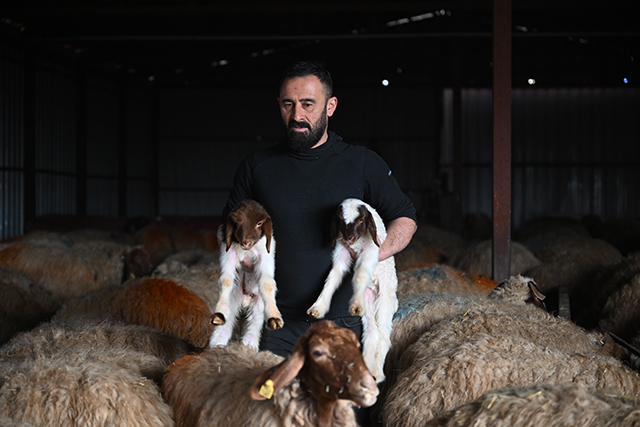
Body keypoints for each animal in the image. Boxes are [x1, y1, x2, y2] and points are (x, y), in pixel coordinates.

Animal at [209, 199, 283, 350]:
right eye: (236, 223)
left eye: (259, 223)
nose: (246, 243)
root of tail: (245, 300)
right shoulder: (228, 251)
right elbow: (226, 280)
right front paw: (218, 313)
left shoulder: (266, 254)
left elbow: (267, 284)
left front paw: (274, 317)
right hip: (234, 297)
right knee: (229, 318)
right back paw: (218, 343)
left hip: (258, 303)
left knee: (255, 321)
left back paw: (249, 345)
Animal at [306, 198, 397, 383]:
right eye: (341, 220)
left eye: (362, 221)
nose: (350, 237)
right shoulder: (341, 250)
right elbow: (333, 278)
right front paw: (318, 308)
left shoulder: (371, 251)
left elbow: (360, 275)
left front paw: (355, 304)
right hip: (369, 300)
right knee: (372, 333)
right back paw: (366, 369)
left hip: (386, 299)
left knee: (384, 336)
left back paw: (377, 373)